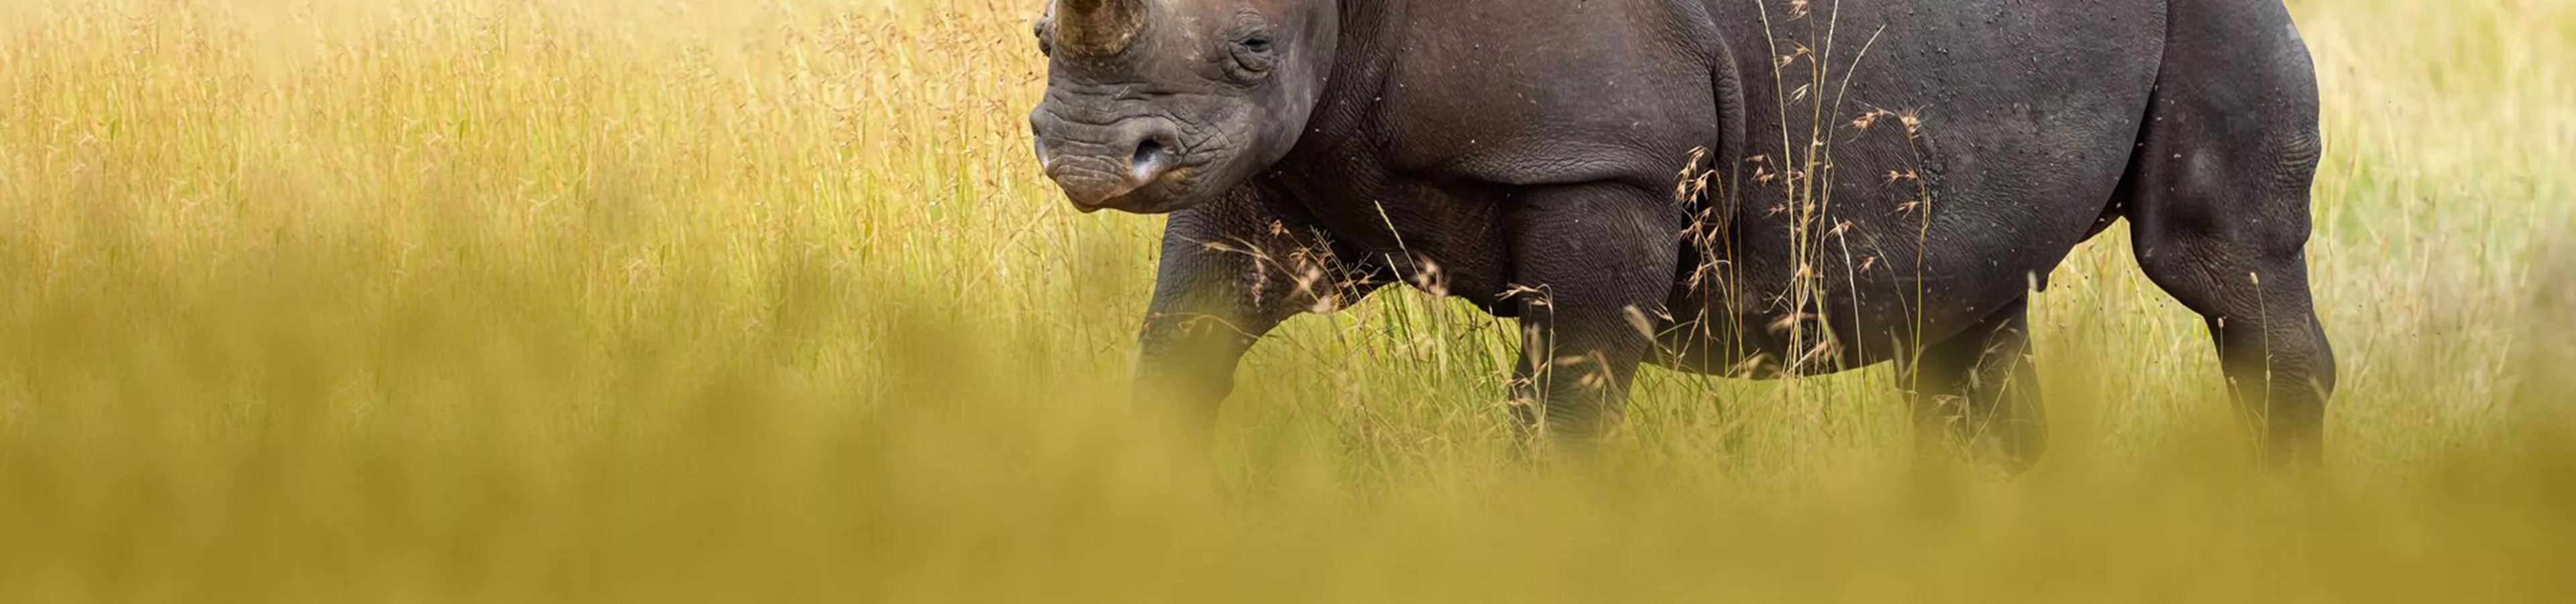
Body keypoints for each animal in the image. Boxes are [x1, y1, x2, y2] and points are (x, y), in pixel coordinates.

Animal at [1027, 0, 2336, 467]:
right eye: (1041, 35)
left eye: (1256, 46)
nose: (1088, 157)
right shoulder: (1262, 166)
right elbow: (1183, 342)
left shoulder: (1607, 168)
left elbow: (1567, 401)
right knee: (1965, 311)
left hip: (2220, 11)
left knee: (2216, 262)